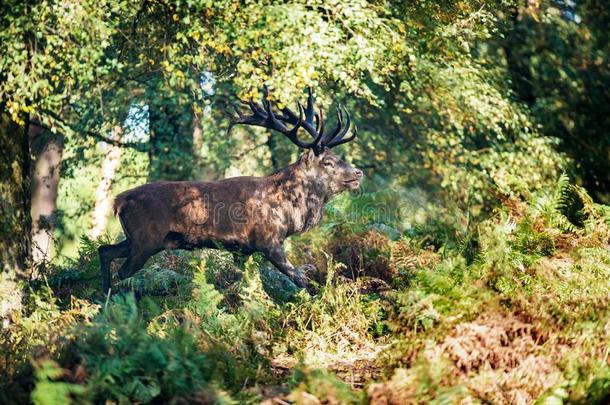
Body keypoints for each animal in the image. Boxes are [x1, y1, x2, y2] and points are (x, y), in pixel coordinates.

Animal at [99, 87, 360, 292]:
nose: (358, 173)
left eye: (337, 156)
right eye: (327, 162)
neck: (287, 212)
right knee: (122, 272)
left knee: (104, 250)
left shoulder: (242, 251)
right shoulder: (268, 241)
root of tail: (118, 201)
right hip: (146, 240)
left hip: (136, 239)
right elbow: (299, 279)